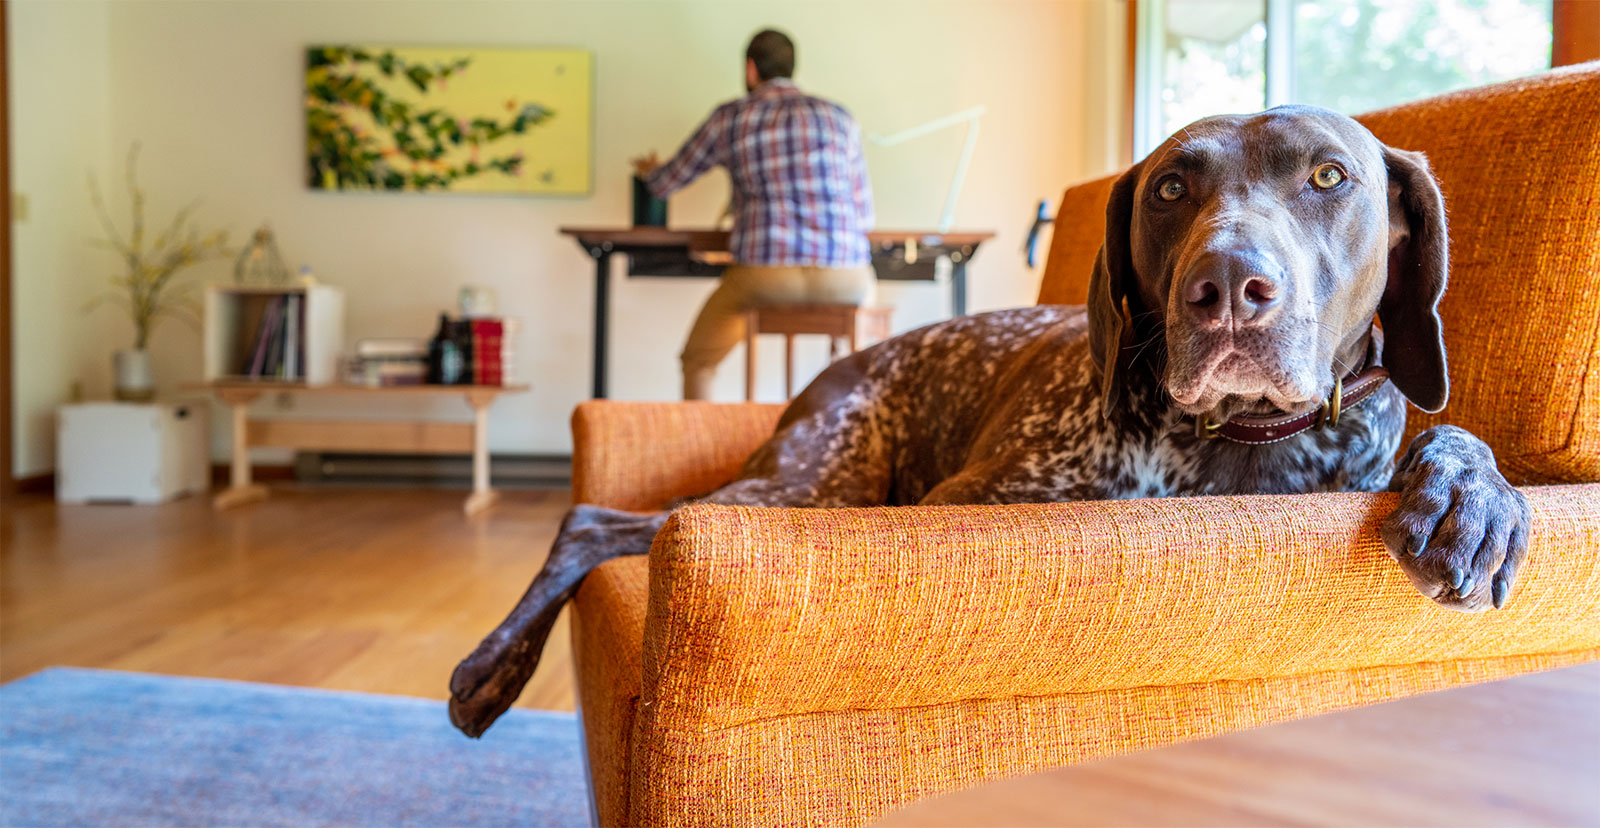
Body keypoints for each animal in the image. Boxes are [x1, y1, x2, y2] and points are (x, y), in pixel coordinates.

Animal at [444, 105, 1529, 741]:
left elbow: (1449, 438)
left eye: (1329, 178)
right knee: (597, 523)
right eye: (1172, 186)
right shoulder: (970, 500)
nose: (1227, 288)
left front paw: (1472, 501)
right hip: (822, 488)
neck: (1231, 445)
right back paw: (495, 668)